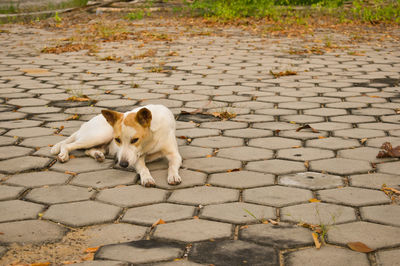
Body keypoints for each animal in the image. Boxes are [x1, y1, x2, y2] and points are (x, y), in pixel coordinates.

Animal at [50, 104, 182, 187]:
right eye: (118, 139)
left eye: (135, 140)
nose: (123, 164)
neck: (150, 139)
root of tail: (84, 125)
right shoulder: (137, 158)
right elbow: (144, 168)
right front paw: (147, 178)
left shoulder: (175, 155)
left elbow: (172, 166)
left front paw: (173, 176)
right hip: (100, 135)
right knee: (68, 145)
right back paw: (63, 155)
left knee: (88, 150)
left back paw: (98, 155)